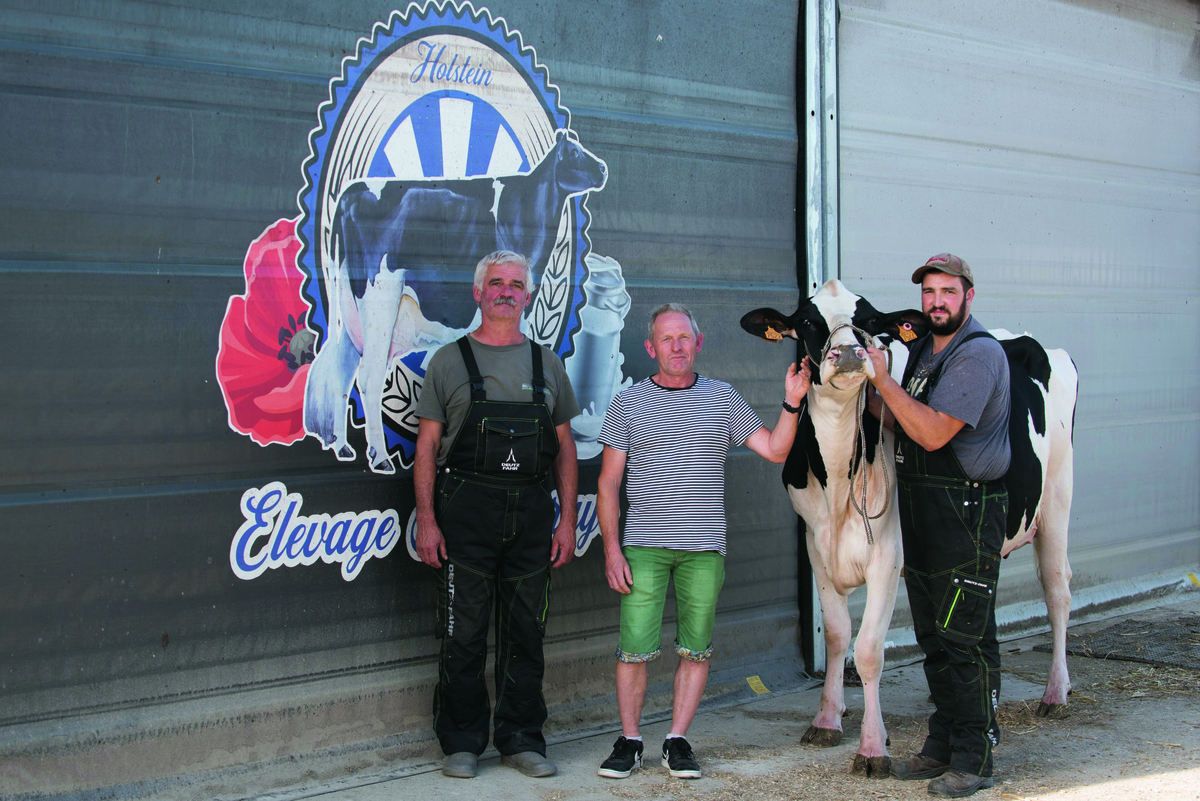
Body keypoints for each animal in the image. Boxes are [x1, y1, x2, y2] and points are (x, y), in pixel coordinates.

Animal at [304, 130, 604, 470]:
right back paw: (380, 458)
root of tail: (350, 191)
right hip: (379, 296)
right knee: (368, 375)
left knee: (342, 368)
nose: (603, 169)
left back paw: (342, 446)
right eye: (574, 153)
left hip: (348, 305)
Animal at [739, 280, 1080, 777]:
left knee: (1057, 592)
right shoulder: (816, 547)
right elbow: (838, 635)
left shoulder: (886, 555)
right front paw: (827, 718)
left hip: (1056, 499)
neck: (838, 483)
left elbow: (868, 649)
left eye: (870, 321)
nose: (849, 352)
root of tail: (1023, 339)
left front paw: (872, 748)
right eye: (806, 321)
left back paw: (1056, 693)